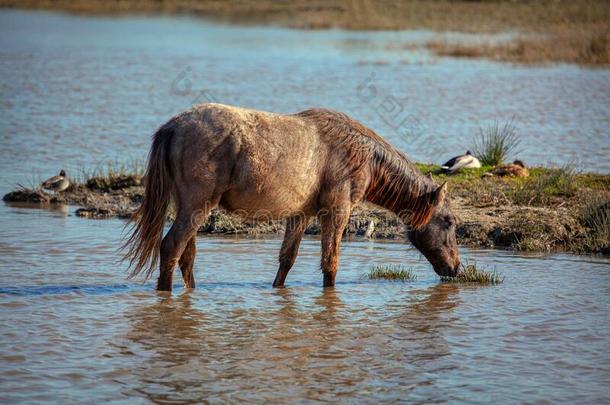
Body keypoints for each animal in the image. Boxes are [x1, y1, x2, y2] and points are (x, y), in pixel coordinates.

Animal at [122, 102, 456, 288]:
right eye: (450, 222)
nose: (455, 268)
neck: (364, 157)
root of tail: (173, 126)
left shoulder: (301, 214)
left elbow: (287, 259)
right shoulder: (337, 210)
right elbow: (330, 262)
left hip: (188, 207)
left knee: (185, 256)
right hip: (196, 206)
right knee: (171, 248)